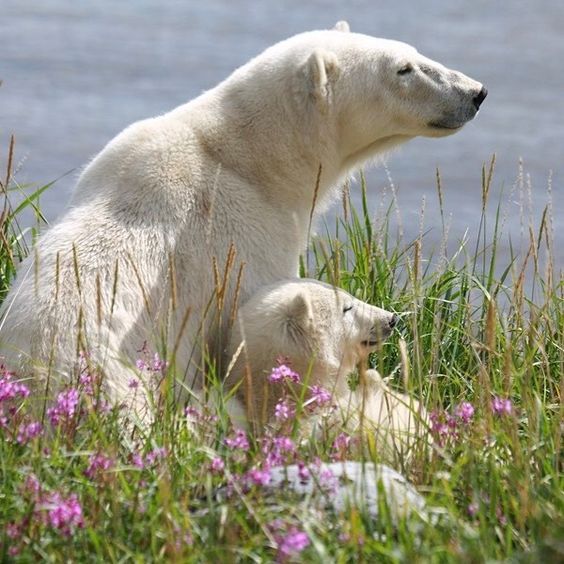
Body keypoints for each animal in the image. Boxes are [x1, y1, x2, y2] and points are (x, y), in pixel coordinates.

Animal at [0, 22, 484, 412]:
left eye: (413, 52)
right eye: (404, 69)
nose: (475, 92)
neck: (253, 159)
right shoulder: (244, 236)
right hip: (120, 383)